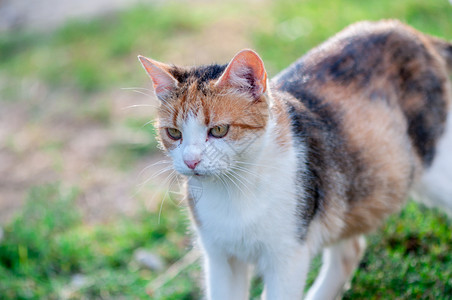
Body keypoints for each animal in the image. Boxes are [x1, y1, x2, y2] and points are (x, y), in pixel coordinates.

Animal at [137, 19, 452, 298]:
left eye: (218, 130)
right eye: (174, 133)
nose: (190, 161)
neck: (234, 191)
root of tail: (406, 31)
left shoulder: (288, 256)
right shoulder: (220, 258)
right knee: (349, 251)